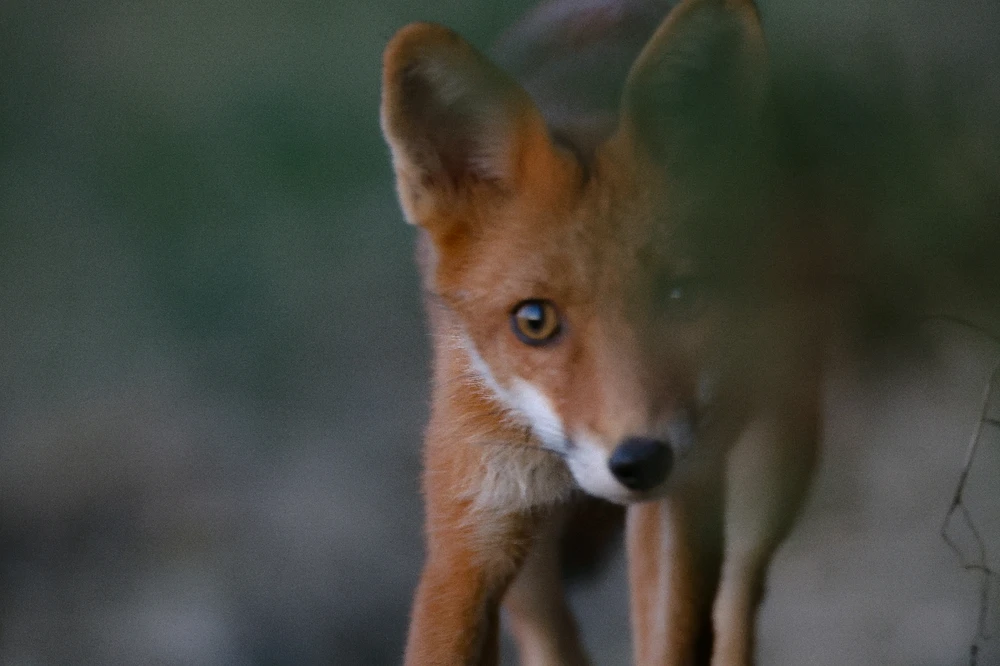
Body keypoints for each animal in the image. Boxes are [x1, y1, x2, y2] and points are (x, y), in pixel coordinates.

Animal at [380, 0, 829, 664]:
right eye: (534, 321)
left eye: (680, 296)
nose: (639, 460)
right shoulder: (472, 524)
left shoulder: (683, 497)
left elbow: (676, 634)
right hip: (532, 564)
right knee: (551, 636)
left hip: (775, 462)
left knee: (740, 599)